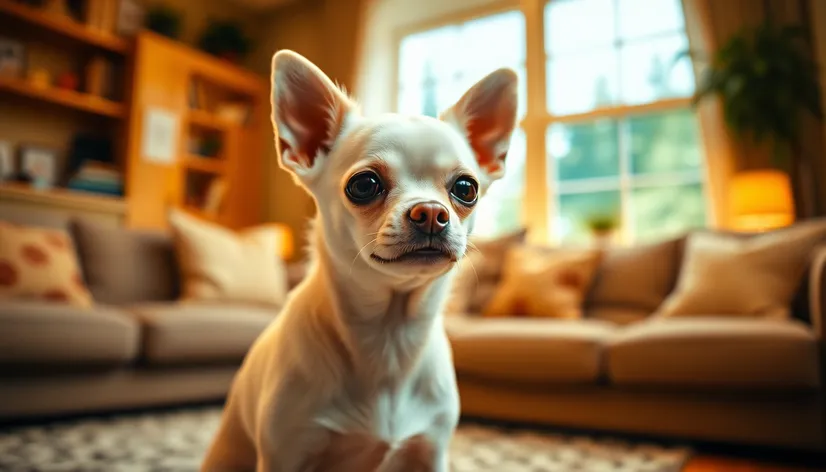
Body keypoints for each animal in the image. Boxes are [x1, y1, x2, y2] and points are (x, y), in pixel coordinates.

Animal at [200, 49, 516, 470]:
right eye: (364, 184)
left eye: (466, 188)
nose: (432, 212)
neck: (389, 338)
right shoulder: (286, 453)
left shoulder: (431, 452)